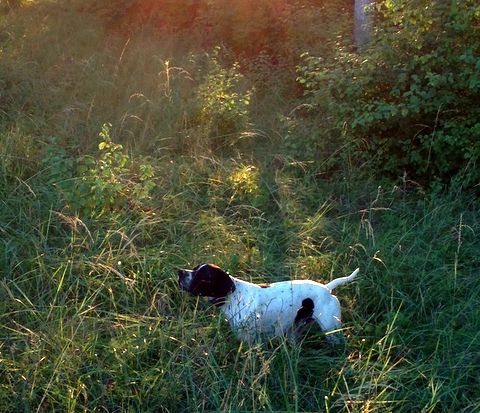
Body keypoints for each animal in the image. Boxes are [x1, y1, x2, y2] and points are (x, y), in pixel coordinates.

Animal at [178, 262, 358, 342]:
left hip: (331, 330)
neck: (235, 296)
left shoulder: (249, 337)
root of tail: (327, 288)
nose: (180, 272)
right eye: (194, 269)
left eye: (201, 276)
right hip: (295, 329)